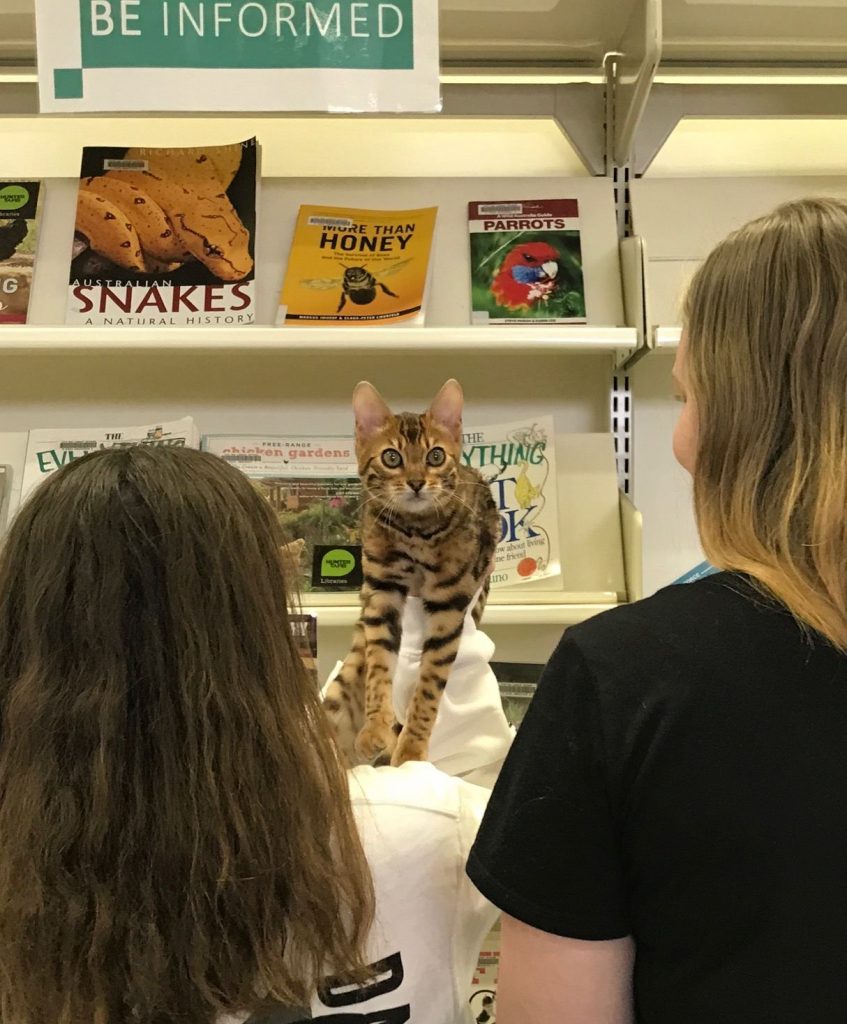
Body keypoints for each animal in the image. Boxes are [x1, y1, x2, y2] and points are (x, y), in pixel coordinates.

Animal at [323, 380, 497, 765]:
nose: (417, 482)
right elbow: (379, 667)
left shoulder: (449, 605)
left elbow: (430, 685)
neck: (415, 531)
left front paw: (412, 749)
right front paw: (375, 727)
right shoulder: (381, 594)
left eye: (435, 456)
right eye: (392, 457)